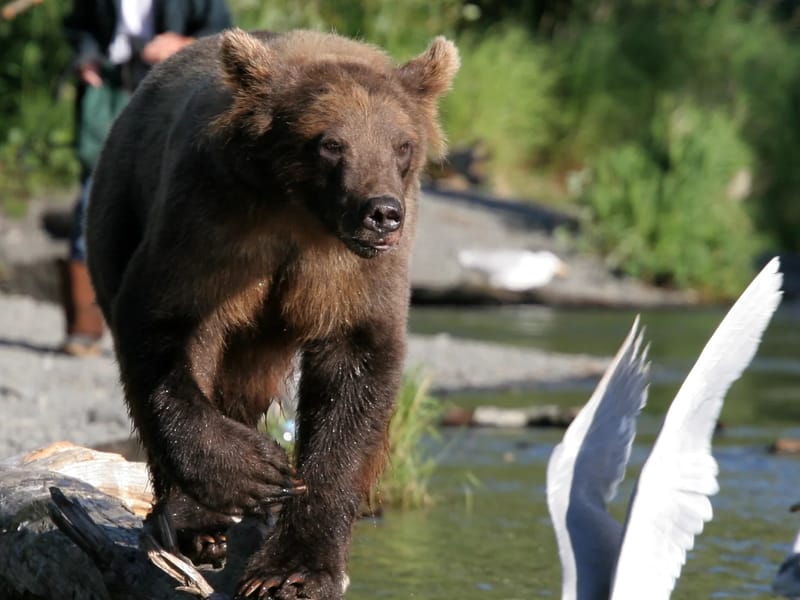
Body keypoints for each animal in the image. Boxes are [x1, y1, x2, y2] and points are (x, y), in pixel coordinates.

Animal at [86, 28, 459, 599]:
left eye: (402, 144)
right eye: (331, 143)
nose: (381, 212)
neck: (302, 214)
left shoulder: (355, 276)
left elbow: (356, 373)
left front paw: (295, 568)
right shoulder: (212, 224)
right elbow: (164, 325)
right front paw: (256, 471)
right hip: (119, 208)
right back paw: (195, 522)